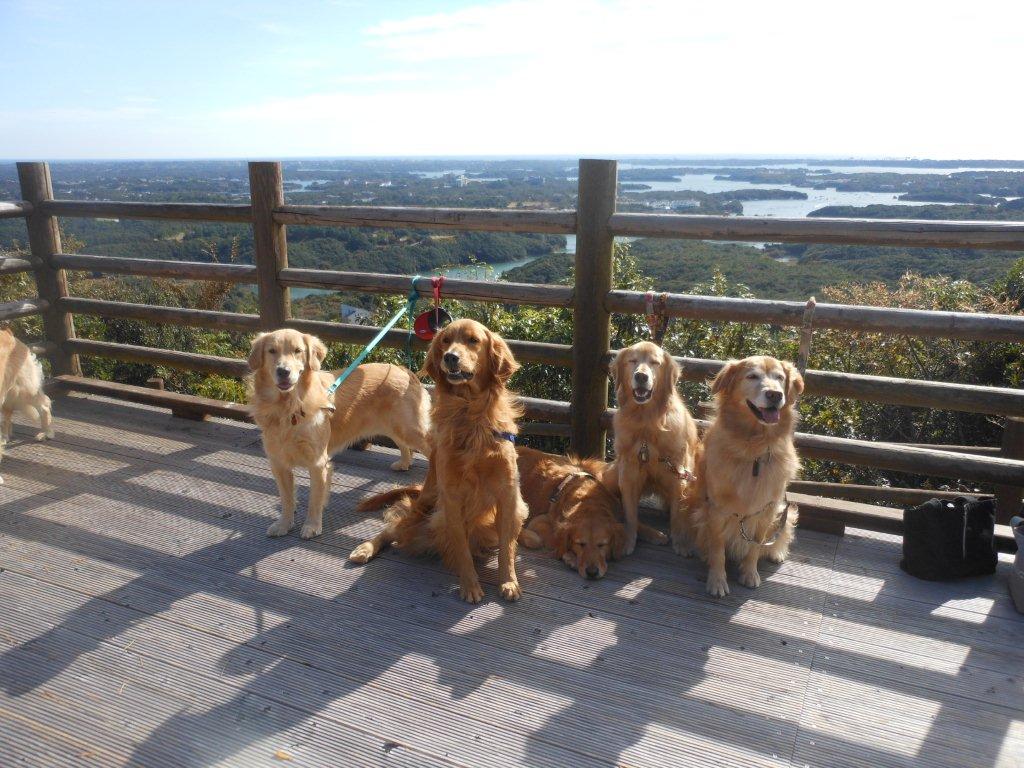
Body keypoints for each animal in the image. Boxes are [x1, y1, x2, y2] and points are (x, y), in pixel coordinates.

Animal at [0, 329, 54, 482]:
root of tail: (9, 333)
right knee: (7, 416)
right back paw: (5, 436)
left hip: (22, 390)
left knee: (44, 405)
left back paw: (46, 432)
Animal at [247, 328, 430, 539]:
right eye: (272, 351)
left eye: (297, 351)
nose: (283, 371)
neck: (289, 407)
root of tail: (404, 370)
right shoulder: (278, 463)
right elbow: (287, 499)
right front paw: (284, 524)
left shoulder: (317, 463)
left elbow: (314, 499)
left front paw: (312, 525)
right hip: (395, 426)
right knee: (404, 445)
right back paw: (404, 463)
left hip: (410, 429)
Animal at [349, 319, 528, 603]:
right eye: (445, 341)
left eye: (473, 340)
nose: (450, 357)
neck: (470, 415)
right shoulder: (452, 497)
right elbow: (461, 547)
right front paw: (470, 585)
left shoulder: (509, 495)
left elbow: (507, 548)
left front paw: (508, 581)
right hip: (426, 506)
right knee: (395, 528)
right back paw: (365, 548)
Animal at [607, 341, 699, 555]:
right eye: (632, 361)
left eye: (655, 363)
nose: (641, 376)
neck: (646, 425)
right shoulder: (628, 472)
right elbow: (630, 515)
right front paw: (628, 540)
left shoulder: (679, 474)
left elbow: (678, 515)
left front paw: (681, 542)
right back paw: (655, 535)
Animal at [687, 355, 803, 597]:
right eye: (752, 376)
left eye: (780, 377)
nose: (775, 394)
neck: (753, 450)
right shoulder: (716, 509)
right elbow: (718, 549)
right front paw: (717, 581)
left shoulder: (768, 509)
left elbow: (756, 546)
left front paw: (750, 573)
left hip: (785, 512)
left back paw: (777, 552)